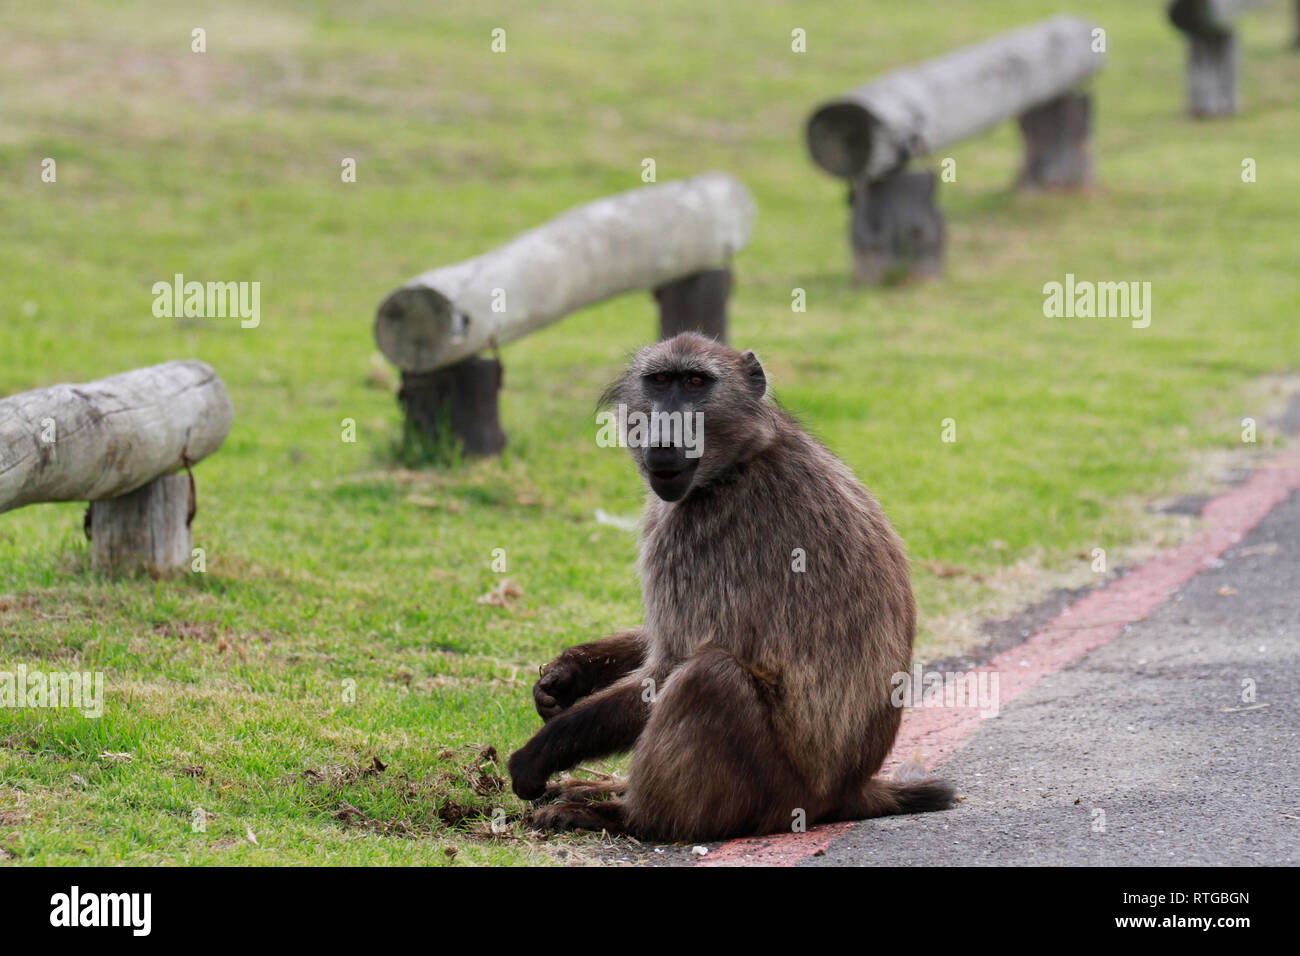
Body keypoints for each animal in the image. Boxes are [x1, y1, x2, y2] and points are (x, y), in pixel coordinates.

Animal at [507, 333, 955, 841]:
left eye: (696, 383)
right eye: (660, 381)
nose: (665, 437)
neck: (737, 462)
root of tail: (850, 789)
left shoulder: (698, 534)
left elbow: (668, 666)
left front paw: (537, 755)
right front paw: (566, 675)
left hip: (779, 789)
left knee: (708, 677)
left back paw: (623, 816)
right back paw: (600, 792)